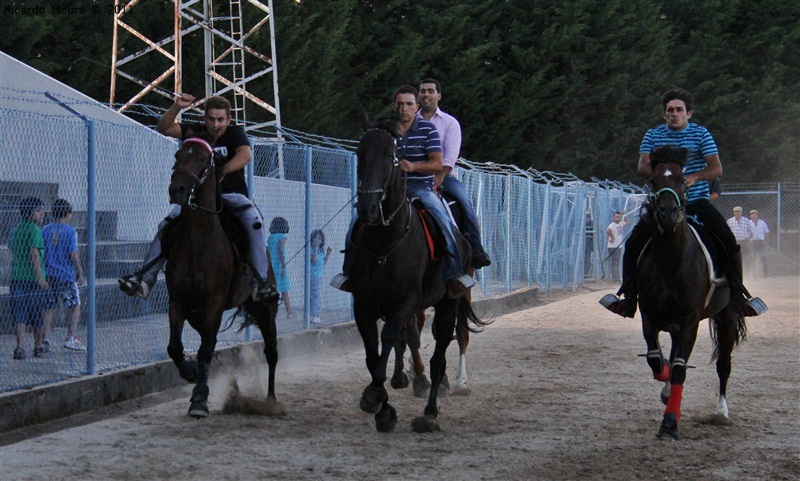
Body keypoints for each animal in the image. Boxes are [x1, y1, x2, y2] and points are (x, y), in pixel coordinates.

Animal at [162, 133, 282, 418]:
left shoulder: (214, 301)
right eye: (178, 155)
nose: (177, 190)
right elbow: (176, 347)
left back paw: (270, 400)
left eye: (202, 158)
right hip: (197, 313)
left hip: (265, 309)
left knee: (271, 351)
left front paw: (199, 401)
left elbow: (205, 349)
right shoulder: (178, 301)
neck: (198, 241)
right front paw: (191, 375)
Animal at [348, 114, 484, 434]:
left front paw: (375, 396)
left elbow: (390, 338)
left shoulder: (405, 302)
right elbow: (373, 355)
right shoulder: (362, 305)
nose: (368, 208)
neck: (386, 243)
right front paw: (385, 408)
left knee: (445, 349)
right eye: (360, 153)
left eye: (390, 156)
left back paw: (432, 410)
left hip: (451, 301)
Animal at [636, 143, 744, 438]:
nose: (668, 213)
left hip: (727, 316)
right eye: (654, 181)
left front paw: (670, 423)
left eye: (683, 180)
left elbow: (680, 368)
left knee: (724, 364)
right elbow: (656, 360)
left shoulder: (690, 320)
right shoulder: (649, 316)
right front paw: (664, 386)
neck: (672, 261)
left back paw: (721, 412)